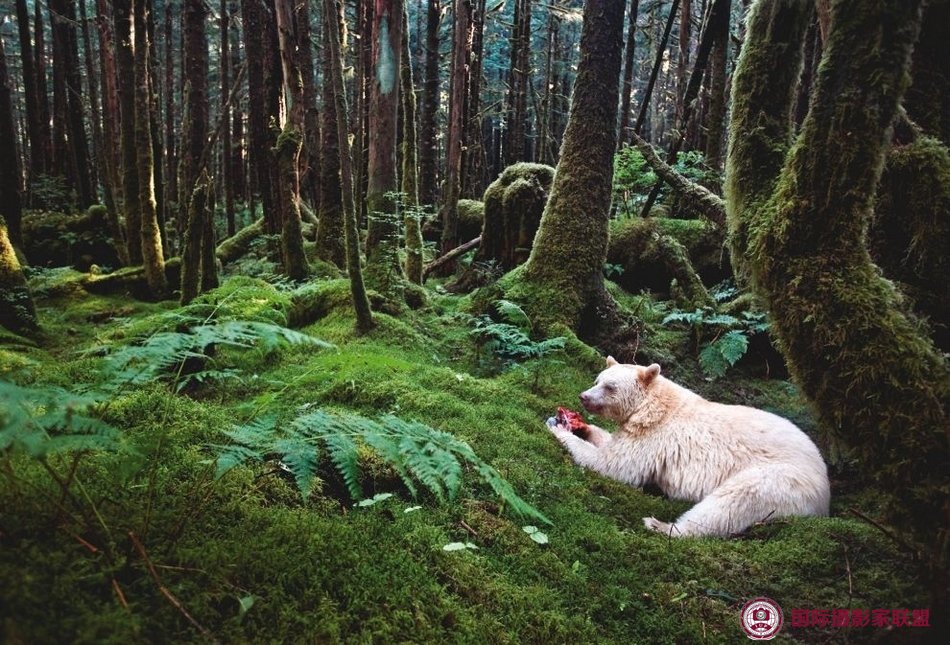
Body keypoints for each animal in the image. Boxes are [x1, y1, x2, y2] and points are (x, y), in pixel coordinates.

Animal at [548, 358, 828, 532]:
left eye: (610, 386)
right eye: (597, 379)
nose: (584, 396)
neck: (652, 405)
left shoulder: (654, 436)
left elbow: (616, 465)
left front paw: (559, 428)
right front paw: (580, 426)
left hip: (781, 480)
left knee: (731, 503)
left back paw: (662, 526)